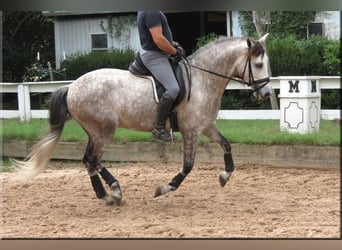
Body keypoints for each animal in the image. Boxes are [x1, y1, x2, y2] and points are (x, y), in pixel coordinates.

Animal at [14, 33, 272, 205]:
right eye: (259, 64)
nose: (267, 94)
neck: (202, 79)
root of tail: (71, 87)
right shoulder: (192, 130)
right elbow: (188, 165)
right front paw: (164, 188)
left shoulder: (206, 126)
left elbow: (226, 145)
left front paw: (224, 176)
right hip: (104, 130)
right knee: (93, 159)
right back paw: (113, 191)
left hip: (94, 131)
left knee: (89, 160)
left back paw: (107, 194)